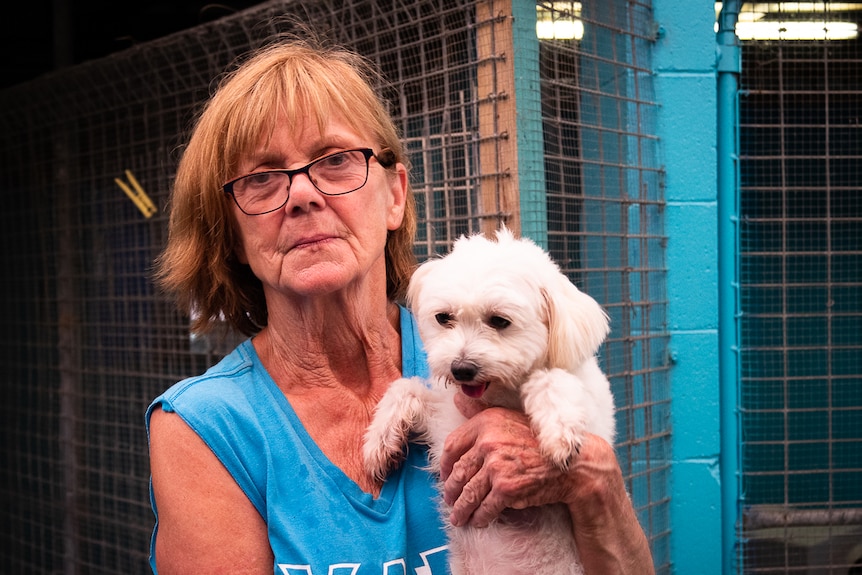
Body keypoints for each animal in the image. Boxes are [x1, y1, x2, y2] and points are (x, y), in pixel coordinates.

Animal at [362, 227, 616, 572]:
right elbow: (406, 388)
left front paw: (559, 431)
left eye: (499, 321)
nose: (461, 368)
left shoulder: (595, 417)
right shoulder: (445, 424)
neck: (498, 396)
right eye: (444, 318)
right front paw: (379, 441)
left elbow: (552, 379)